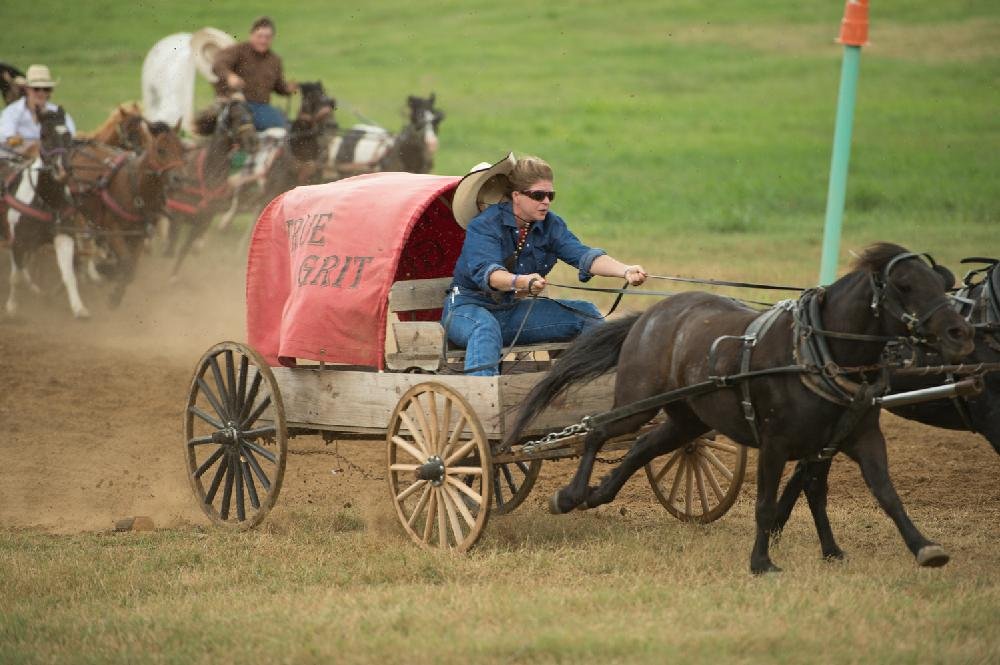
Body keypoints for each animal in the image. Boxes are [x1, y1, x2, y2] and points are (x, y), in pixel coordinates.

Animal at [504, 244, 972, 572]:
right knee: (599, 429)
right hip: (637, 402)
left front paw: (916, 548)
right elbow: (765, 504)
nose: (959, 332)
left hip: (687, 419)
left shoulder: (849, 440)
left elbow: (877, 494)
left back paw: (597, 494)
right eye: (904, 286)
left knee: (642, 447)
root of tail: (650, 315)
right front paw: (762, 562)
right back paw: (570, 495)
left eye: (940, 282)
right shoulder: (776, 443)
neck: (815, 353)